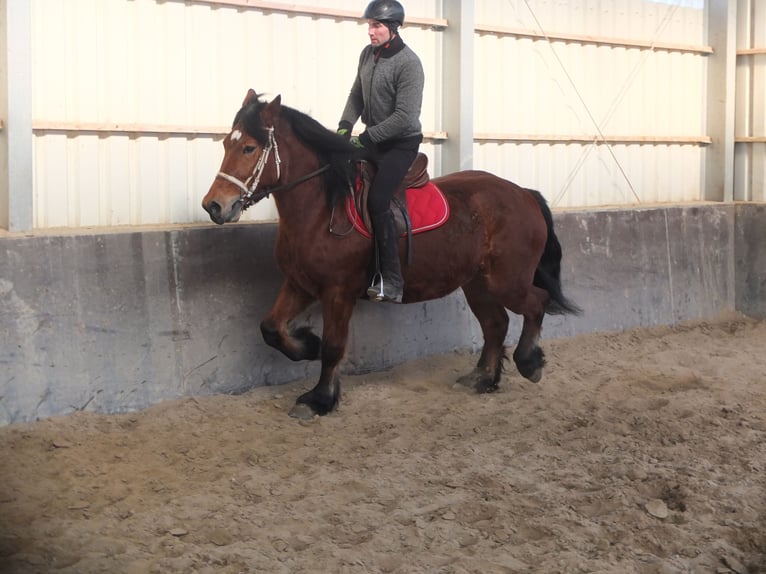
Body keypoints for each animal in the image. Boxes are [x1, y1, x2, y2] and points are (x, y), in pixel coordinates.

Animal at [201, 91, 580, 424]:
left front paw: (320, 399)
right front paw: (307, 345)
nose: (214, 206)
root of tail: (524, 194)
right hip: (477, 283)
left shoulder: (338, 292)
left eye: (249, 147)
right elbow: (271, 328)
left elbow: (334, 347)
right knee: (496, 324)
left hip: (506, 281)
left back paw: (529, 363)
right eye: (226, 144)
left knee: (535, 303)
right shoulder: (300, 285)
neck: (323, 208)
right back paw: (482, 379)